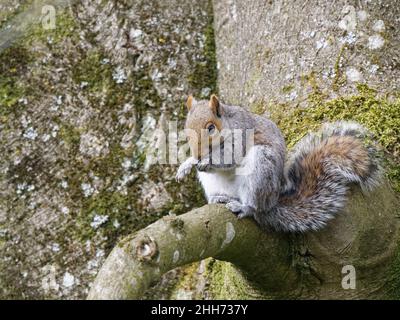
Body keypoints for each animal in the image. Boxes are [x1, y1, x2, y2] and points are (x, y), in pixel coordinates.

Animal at [177, 95, 382, 232]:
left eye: (211, 128)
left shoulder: (241, 135)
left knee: (256, 208)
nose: (198, 154)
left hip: (259, 169)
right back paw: (219, 198)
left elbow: (229, 157)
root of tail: (272, 203)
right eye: (186, 128)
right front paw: (186, 165)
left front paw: (205, 161)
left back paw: (245, 207)